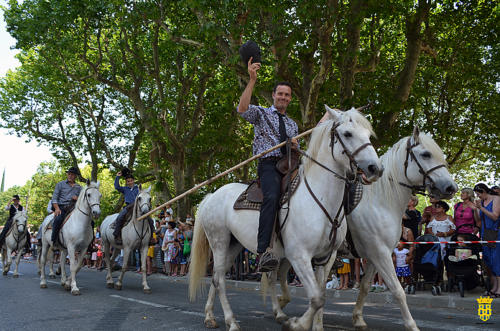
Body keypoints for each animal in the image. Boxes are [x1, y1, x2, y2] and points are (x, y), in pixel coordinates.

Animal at [188, 107, 382, 331]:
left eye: (368, 135)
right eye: (348, 134)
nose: (375, 168)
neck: (321, 199)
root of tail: (212, 196)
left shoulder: (326, 257)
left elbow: (321, 295)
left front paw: (313, 325)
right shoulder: (299, 256)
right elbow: (316, 298)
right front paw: (297, 324)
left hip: (233, 245)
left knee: (216, 278)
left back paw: (210, 316)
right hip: (218, 241)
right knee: (219, 280)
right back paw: (231, 321)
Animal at [270, 127, 458, 331]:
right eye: (426, 154)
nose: (451, 187)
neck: (380, 202)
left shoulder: (377, 255)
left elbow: (366, 286)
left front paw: (358, 319)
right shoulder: (380, 254)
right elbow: (397, 290)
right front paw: (412, 325)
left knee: (280, 273)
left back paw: (282, 305)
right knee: (272, 275)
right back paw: (280, 310)